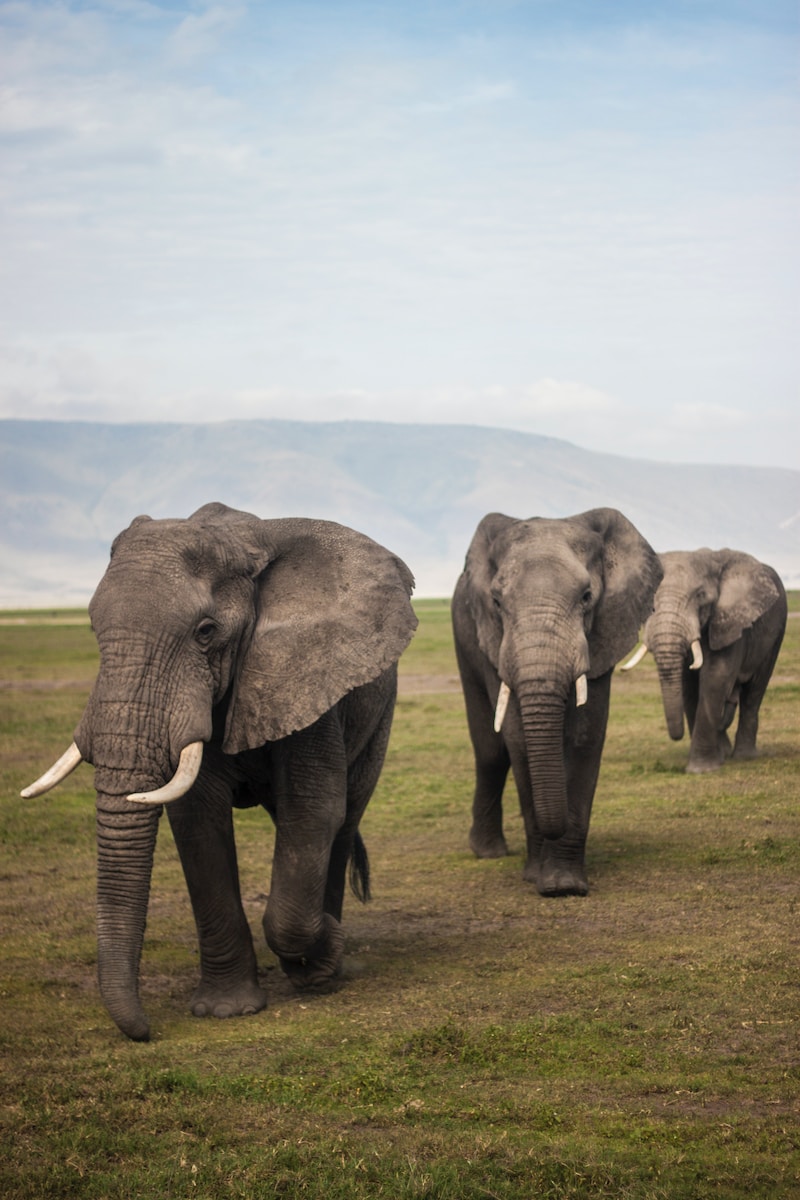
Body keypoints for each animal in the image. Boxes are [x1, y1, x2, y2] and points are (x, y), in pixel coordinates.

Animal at [22, 502, 417, 1041]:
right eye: (92, 628)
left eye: (205, 632)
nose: (145, 1031)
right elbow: (197, 820)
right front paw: (225, 1010)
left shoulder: (306, 675)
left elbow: (313, 810)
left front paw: (321, 957)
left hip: (380, 714)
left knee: (344, 818)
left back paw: (326, 965)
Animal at [452, 507, 662, 897]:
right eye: (497, 602)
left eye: (587, 596)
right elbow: (518, 739)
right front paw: (539, 878)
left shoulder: (603, 632)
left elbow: (585, 735)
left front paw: (564, 885)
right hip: (464, 635)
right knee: (490, 751)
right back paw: (488, 852)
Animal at [621, 548, 787, 773]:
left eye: (700, 596)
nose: (677, 736)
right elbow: (689, 686)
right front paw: (714, 760)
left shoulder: (730, 621)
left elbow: (716, 677)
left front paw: (701, 770)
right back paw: (725, 752)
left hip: (776, 632)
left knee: (755, 691)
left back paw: (744, 756)